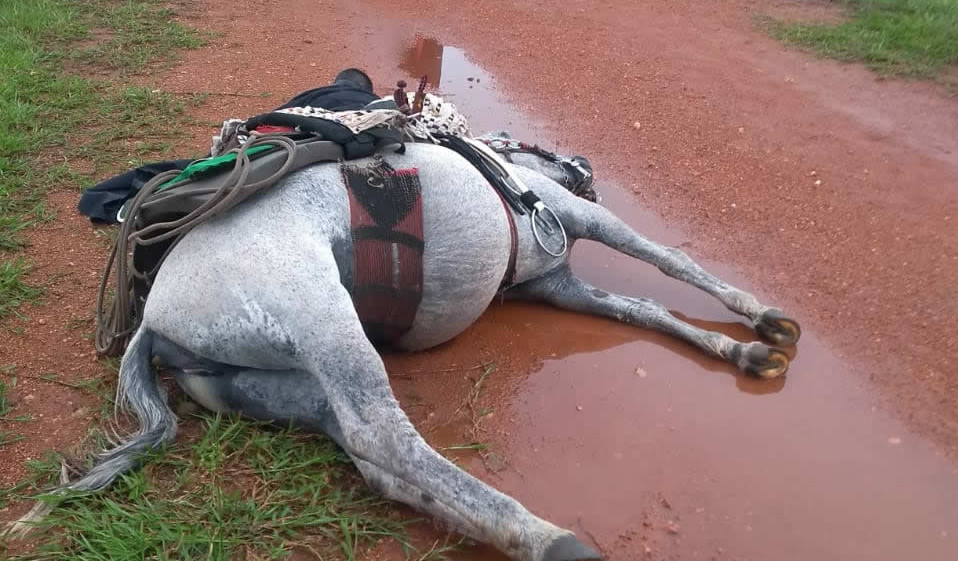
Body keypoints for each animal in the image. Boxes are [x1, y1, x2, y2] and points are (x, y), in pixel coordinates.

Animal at [35, 132, 804, 560]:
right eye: (541, 147)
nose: (584, 162)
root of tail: (151, 320)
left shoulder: (559, 287)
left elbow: (642, 305)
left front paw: (741, 352)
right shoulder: (581, 219)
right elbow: (670, 260)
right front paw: (764, 320)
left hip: (269, 383)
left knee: (371, 455)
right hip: (324, 320)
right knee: (383, 434)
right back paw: (551, 538)